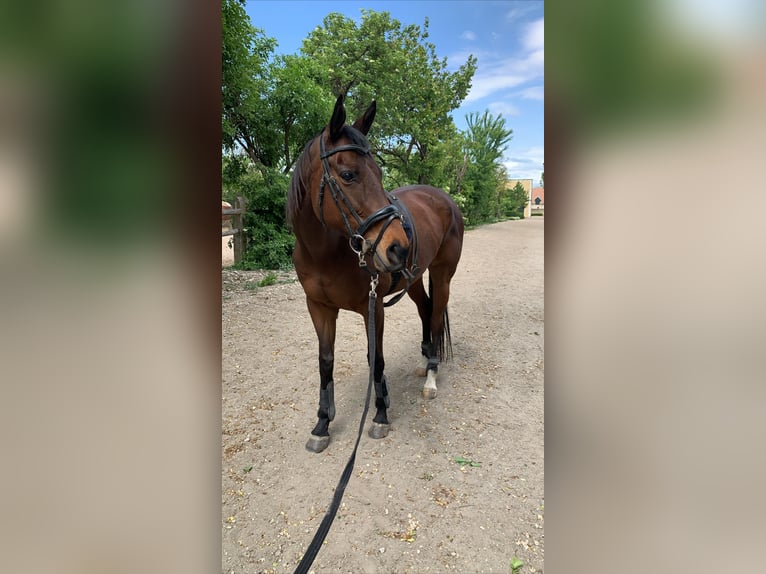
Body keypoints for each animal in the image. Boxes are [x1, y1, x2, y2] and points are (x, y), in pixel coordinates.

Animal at [287, 94, 464, 453]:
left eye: (380, 173)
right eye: (348, 174)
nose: (399, 246)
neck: (325, 253)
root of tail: (444, 198)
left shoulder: (373, 308)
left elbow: (376, 359)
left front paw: (381, 415)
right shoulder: (319, 308)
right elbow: (325, 362)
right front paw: (322, 424)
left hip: (442, 276)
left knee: (436, 315)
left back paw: (431, 375)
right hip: (413, 279)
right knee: (426, 310)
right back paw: (424, 358)